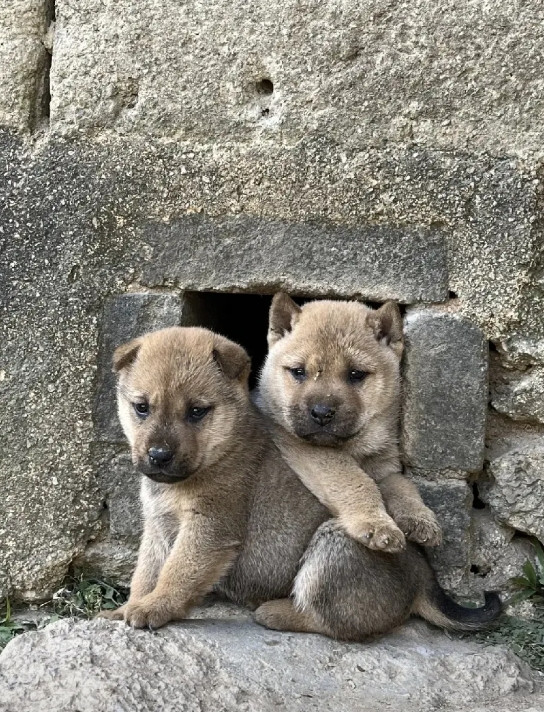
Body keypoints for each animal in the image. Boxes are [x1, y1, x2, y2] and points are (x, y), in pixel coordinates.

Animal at [102, 326, 502, 636]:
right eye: (142, 408)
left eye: (197, 412)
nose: (158, 456)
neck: (220, 451)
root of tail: (422, 577)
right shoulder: (156, 529)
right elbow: (145, 573)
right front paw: (127, 607)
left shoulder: (209, 529)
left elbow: (177, 574)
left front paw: (153, 607)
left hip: (334, 544)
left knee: (334, 622)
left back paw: (277, 612)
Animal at [256, 292, 442, 552]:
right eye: (298, 371)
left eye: (356, 374)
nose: (321, 412)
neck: (357, 448)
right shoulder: (309, 449)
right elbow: (355, 481)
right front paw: (376, 524)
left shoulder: (385, 467)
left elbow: (403, 485)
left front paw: (419, 518)